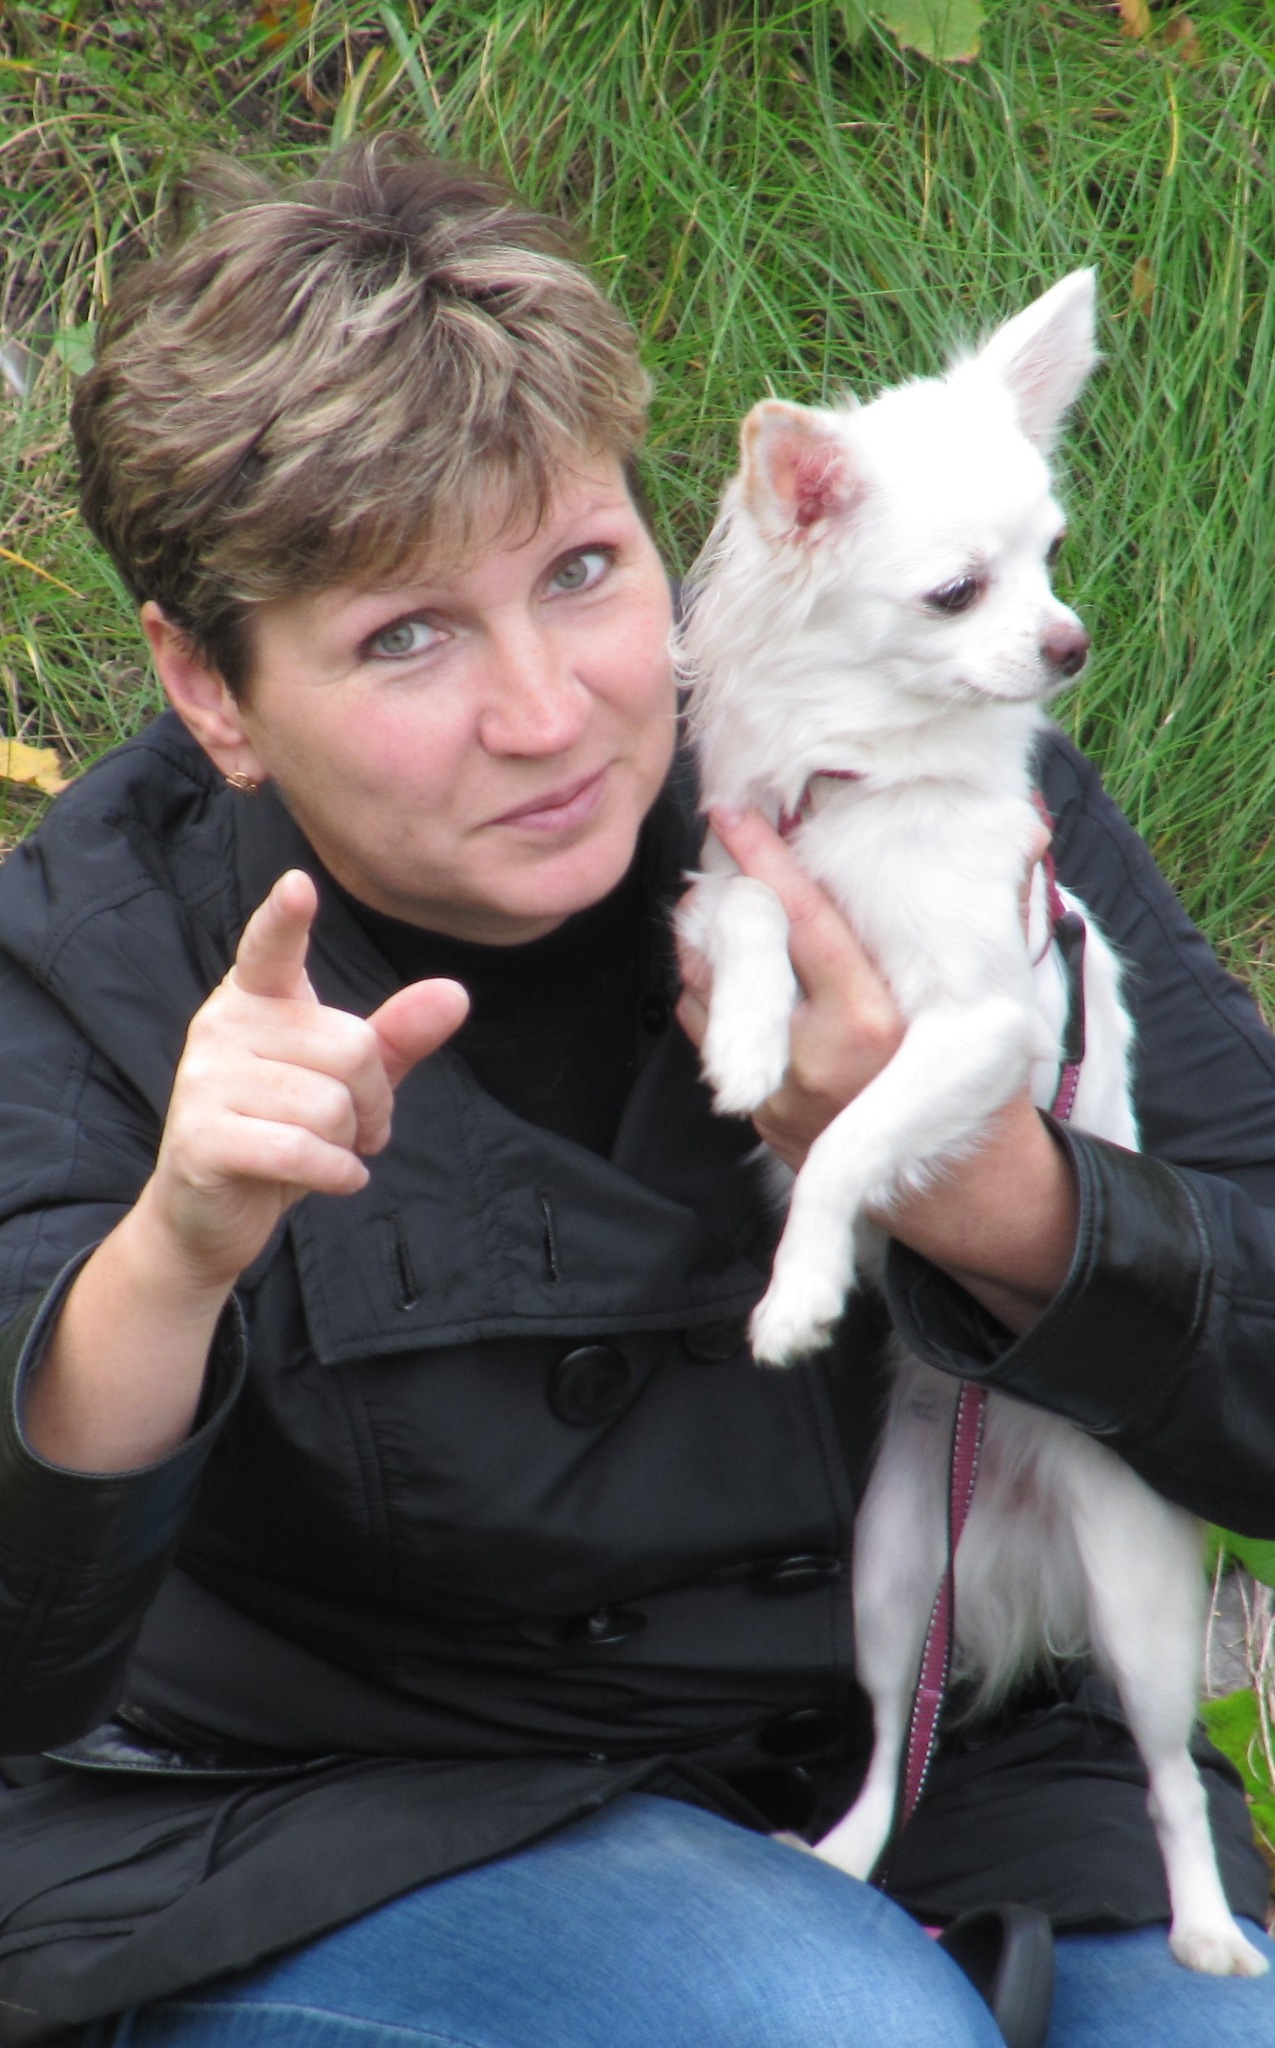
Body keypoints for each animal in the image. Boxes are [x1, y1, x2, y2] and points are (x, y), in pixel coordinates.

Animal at [675, 270, 1268, 1977]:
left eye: (1052, 557)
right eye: (955, 593)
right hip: (888, 1576)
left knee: (1163, 1777)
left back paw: (1202, 1933)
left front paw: (800, 1287)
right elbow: (750, 922)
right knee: (893, 1745)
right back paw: (839, 1858)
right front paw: (748, 1042)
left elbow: (851, 1136)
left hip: (1138, 1603)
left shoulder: (976, 1032)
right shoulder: (742, 874)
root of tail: (1006, 1505)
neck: (877, 791)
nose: (1066, 642)